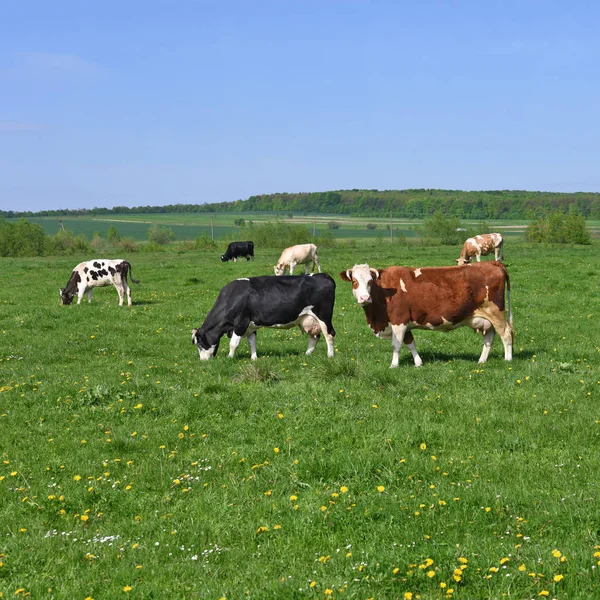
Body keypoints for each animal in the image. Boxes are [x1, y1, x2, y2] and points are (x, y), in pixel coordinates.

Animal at [191, 274, 336, 360]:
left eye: (199, 344)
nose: (203, 361)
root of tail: (323, 275)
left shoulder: (241, 323)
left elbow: (233, 343)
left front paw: (229, 358)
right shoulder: (250, 326)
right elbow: (252, 342)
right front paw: (254, 358)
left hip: (324, 317)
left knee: (329, 335)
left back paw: (330, 355)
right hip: (308, 318)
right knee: (314, 337)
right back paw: (307, 354)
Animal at [340, 264, 512, 368]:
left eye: (370, 281)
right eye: (354, 281)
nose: (365, 298)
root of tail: (492, 263)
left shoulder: (398, 321)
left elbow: (396, 345)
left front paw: (394, 365)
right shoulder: (405, 323)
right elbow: (410, 343)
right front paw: (418, 362)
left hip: (496, 313)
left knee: (506, 334)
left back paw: (508, 360)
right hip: (487, 318)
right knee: (489, 338)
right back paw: (481, 361)